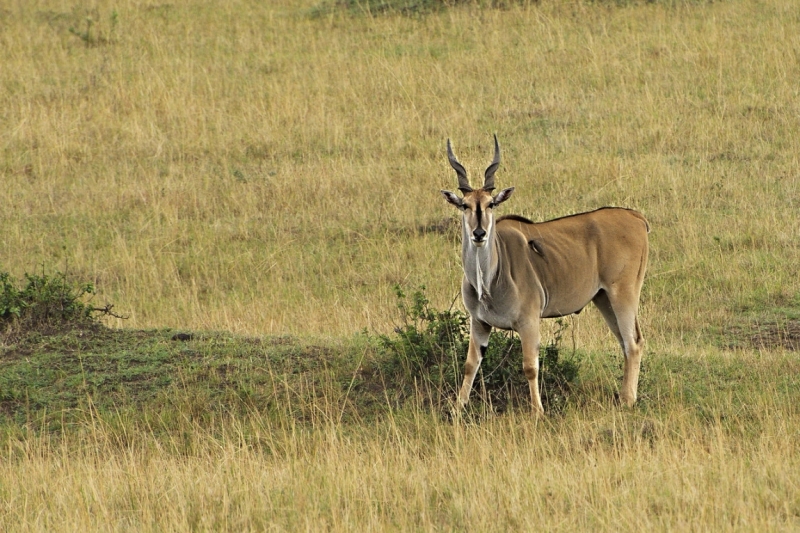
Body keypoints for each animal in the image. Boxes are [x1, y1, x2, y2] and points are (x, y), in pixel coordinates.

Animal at [444, 135, 648, 414]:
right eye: (465, 205)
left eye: (491, 204)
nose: (479, 233)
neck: (488, 282)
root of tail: (636, 217)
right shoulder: (480, 322)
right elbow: (470, 364)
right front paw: (457, 408)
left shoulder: (529, 322)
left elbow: (530, 367)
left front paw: (538, 411)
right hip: (604, 298)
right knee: (626, 343)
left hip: (623, 294)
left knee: (633, 343)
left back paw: (627, 400)